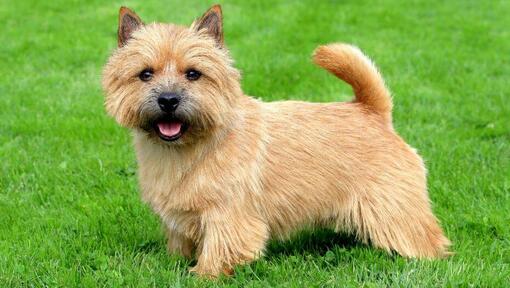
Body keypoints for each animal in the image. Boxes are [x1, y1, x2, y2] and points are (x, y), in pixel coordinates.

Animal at [101, 4, 448, 278]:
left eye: (193, 74)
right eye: (145, 74)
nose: (168, 100)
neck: (190, 149)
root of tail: (373, 111)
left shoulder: (227, 215)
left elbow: (219, 250)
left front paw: (202, 274)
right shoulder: (180, 217)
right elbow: (179, 243)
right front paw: (173, 263)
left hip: (392, 206)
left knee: (423, 239)